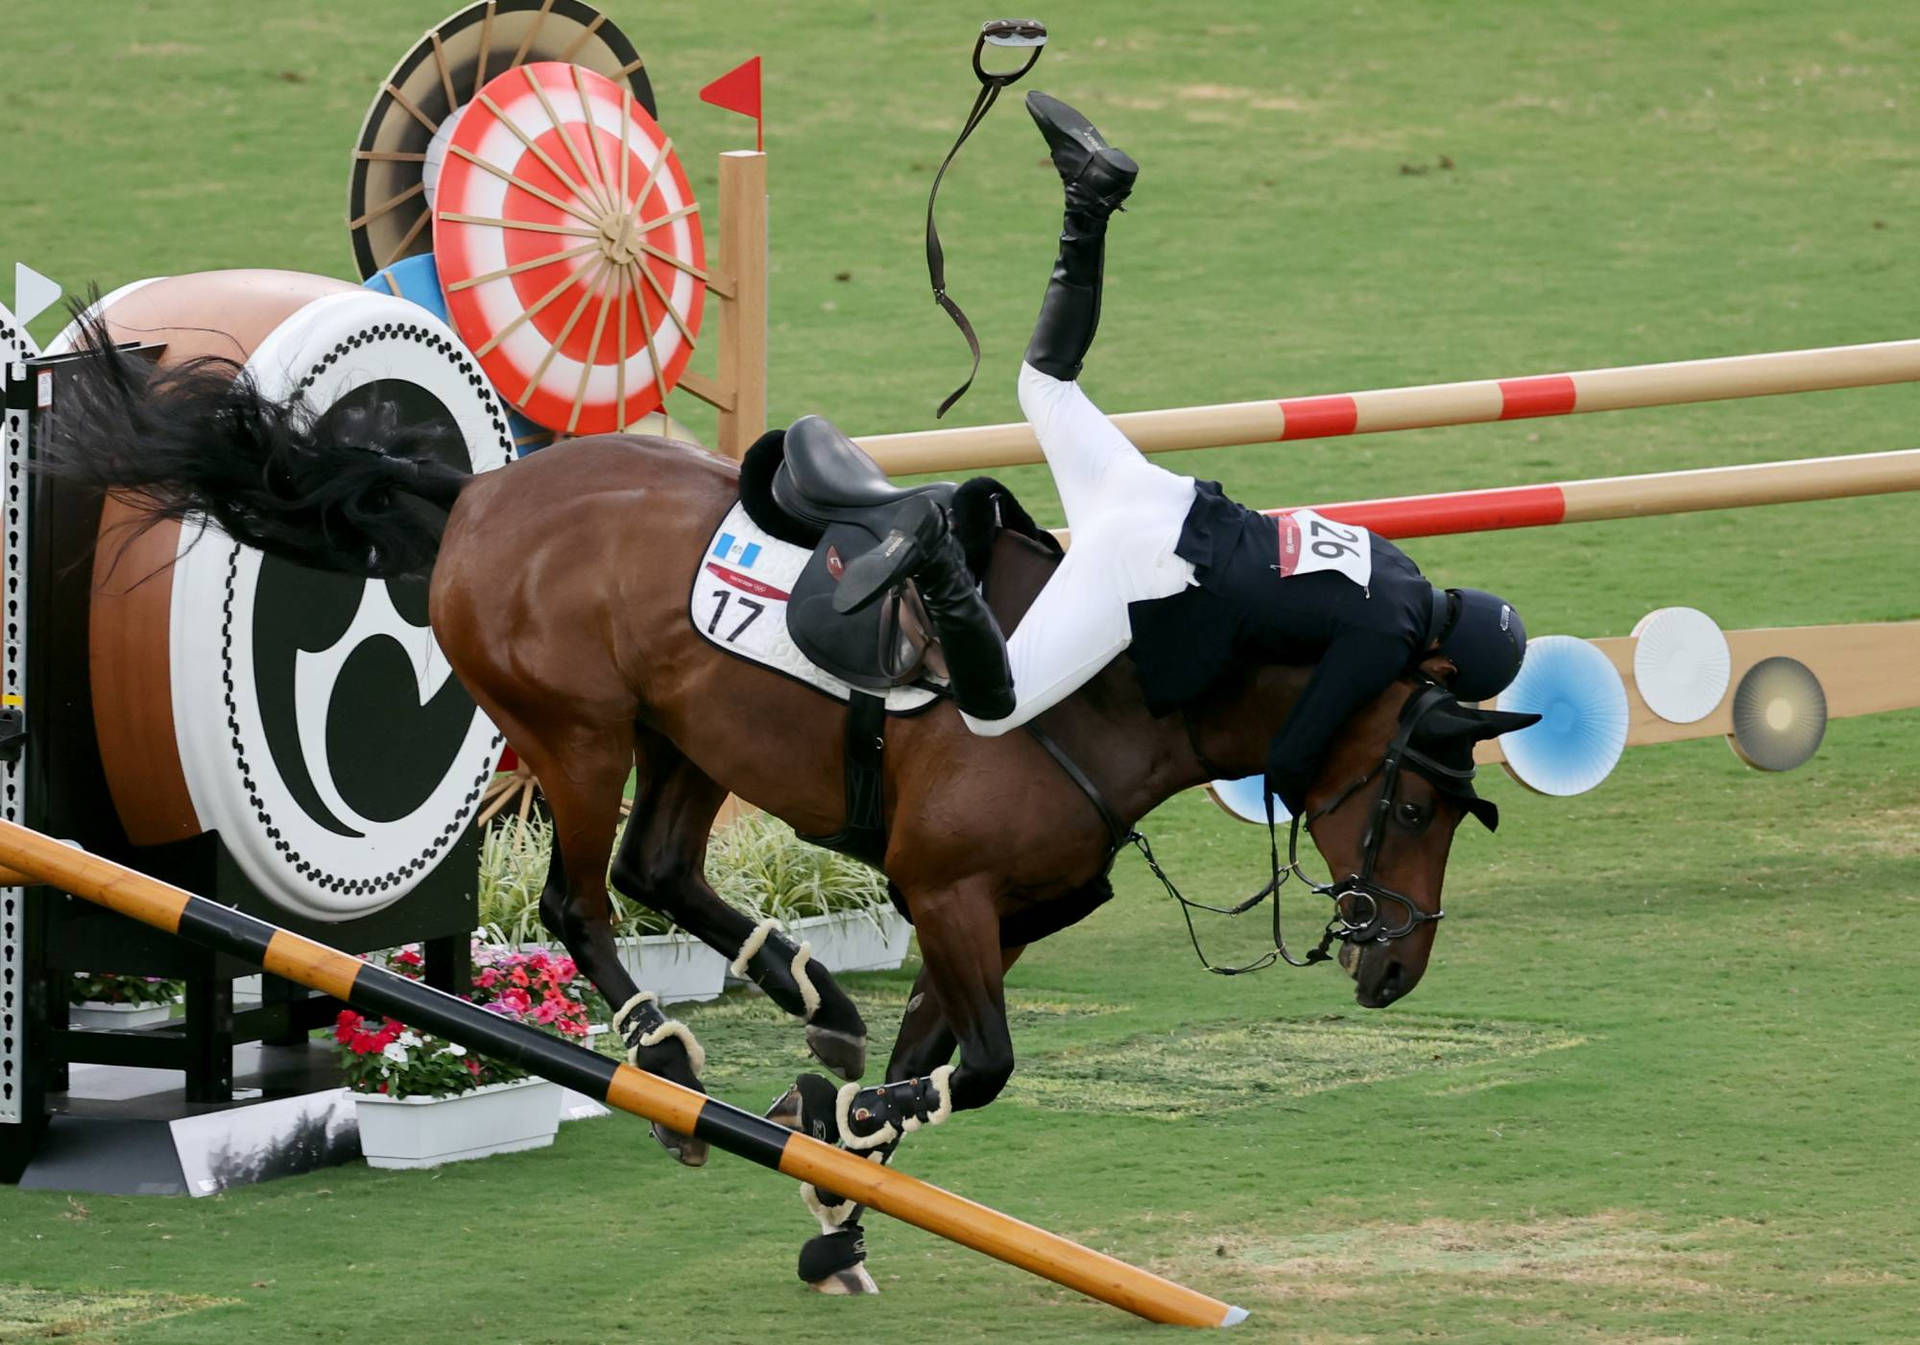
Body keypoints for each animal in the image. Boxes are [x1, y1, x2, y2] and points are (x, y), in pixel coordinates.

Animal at [52, 316, 1536, 1289]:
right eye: (1417, 808)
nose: (1396, 966)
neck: (1127, 683)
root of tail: (477, 486)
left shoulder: (983, 916)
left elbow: (941, 1059)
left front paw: (840, 1179)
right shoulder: (948, 890)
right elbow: (982, 1066)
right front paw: (849, 1134)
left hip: (682, 735)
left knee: (654, 872)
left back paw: (807, 996)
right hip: (579, 733)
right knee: (579, 900)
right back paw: (669, 1060)